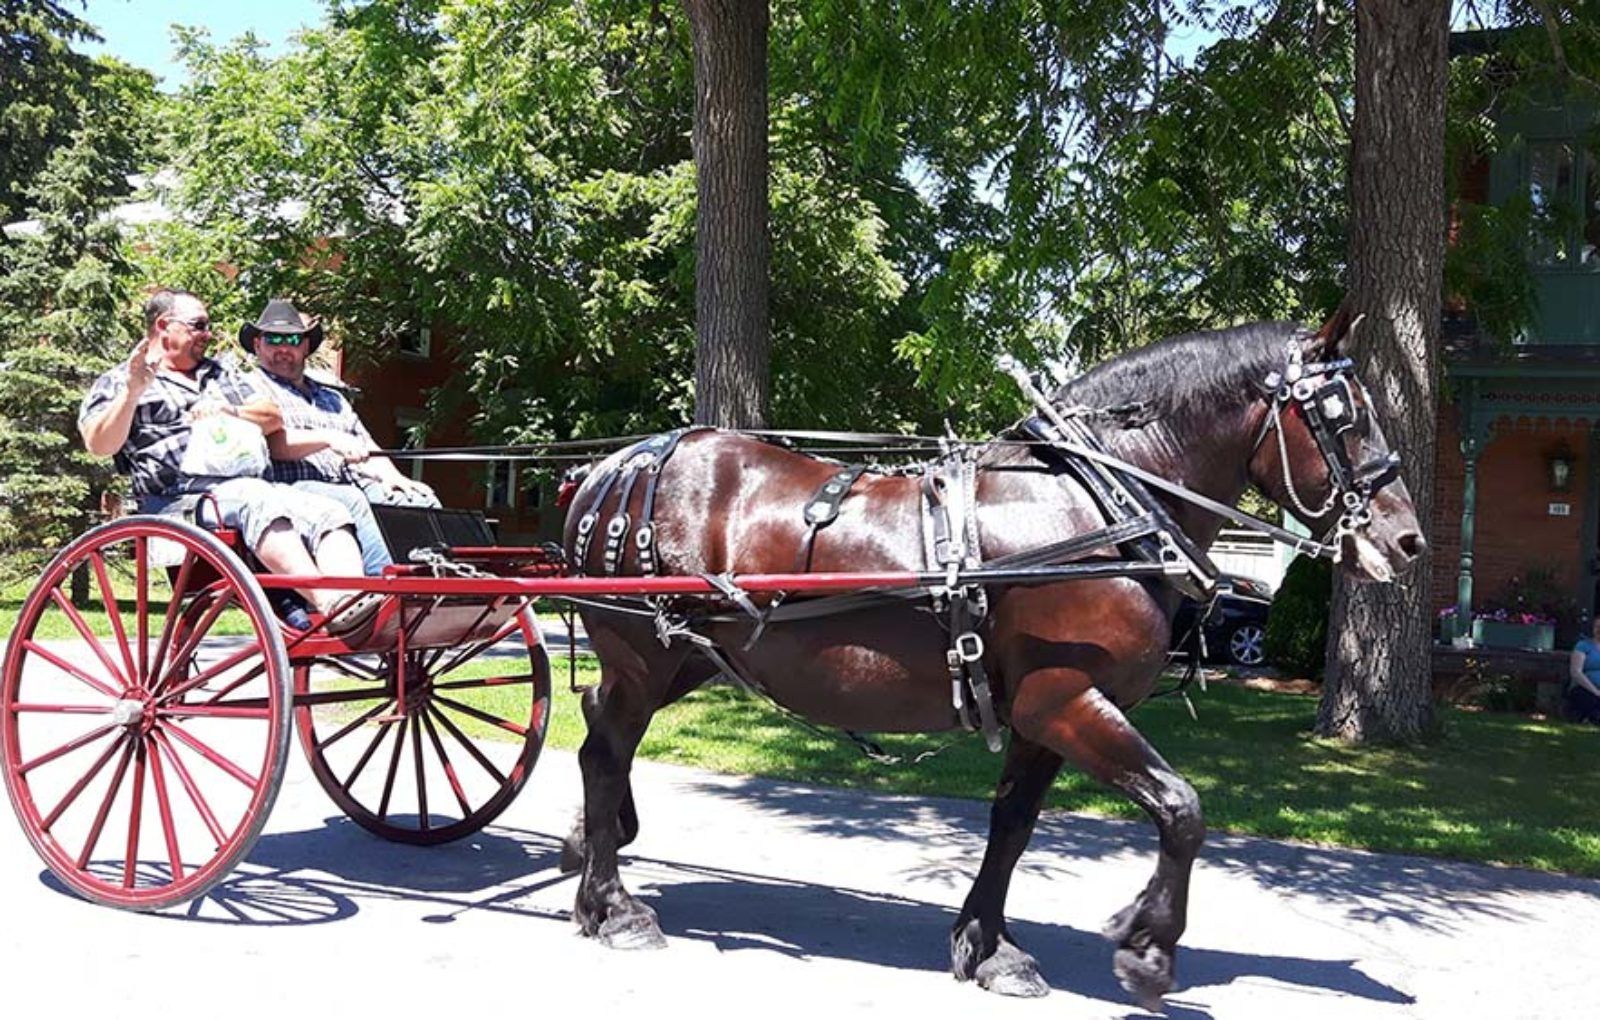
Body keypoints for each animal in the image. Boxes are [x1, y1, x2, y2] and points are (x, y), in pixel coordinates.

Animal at [557, 317, 1423, 1008]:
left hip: (686, 657)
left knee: (600, 729)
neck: (1097, 510)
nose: (1407, 540)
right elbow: (1181, 807)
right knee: (605, 749)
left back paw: (592, 854)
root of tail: (609, 469)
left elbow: (1012, 826)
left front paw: (988, 946)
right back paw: (613, 904)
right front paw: (1146, 946)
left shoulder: (1041, 713)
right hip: (645, 651)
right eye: (1344, 416)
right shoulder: (1065, 699)